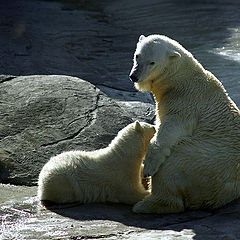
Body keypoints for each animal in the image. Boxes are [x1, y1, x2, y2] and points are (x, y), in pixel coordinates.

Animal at [129, 34, 240, 214]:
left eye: (152, 62)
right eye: (137, 56)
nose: (134, 76)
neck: (180, 78)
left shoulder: (185, 101)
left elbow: (170, 129)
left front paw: (148, 166)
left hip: (203, 161)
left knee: (171, 166)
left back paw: (146, 204)